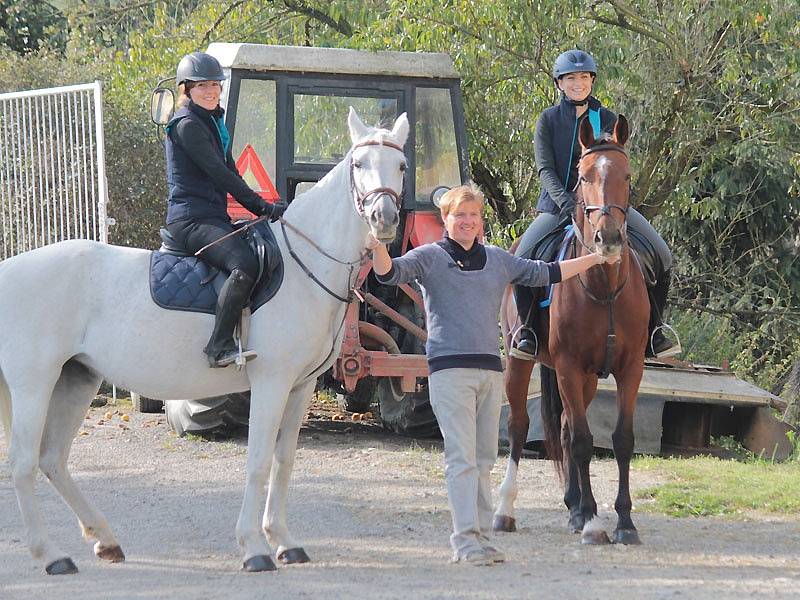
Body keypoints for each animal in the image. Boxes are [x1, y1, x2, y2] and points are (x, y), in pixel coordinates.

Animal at [0, 110, 410, 576]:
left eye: (401, 166)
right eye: (358, 164)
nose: (383, 219)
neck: (304, 265)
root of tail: (9, 269)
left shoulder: (301, 387)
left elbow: (285, 461)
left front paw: (285, 542)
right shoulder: (271, 382)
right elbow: (258, 461)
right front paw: (254, 548)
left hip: (77, 379)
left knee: (52, 458)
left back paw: (104, 541)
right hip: (34, 383)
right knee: (23, 463)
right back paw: (51, 555)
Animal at [494, 115, 648, 548]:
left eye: (627, 175)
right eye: (582, 176)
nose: (608, 238)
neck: (603, 285)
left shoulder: (629, 369)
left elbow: (621, 439)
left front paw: (624, 522)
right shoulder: (567, 366)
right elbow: (582, 441)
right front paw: (596, 523)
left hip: (589, 379)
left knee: (562, 428)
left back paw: (575, 507)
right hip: (521, 361)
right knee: (519, 427)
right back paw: (506, 511)